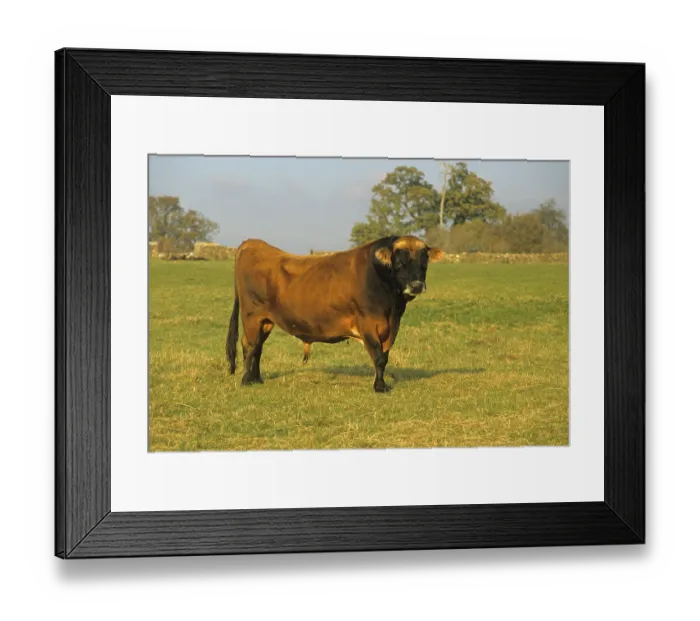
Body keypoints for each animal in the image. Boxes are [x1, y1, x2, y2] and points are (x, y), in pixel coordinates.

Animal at [226, 235, 445, 393]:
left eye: (424, 264)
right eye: (399, 264)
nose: (416, 286)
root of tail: (253, 243)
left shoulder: (391, 327)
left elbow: (384, 356)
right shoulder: (368, 324)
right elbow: (378, 357)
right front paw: (380, 387)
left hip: (266, 320)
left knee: (258, 347)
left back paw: (257, 378)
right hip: (252, 316)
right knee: (249, 345)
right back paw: (246, 380)